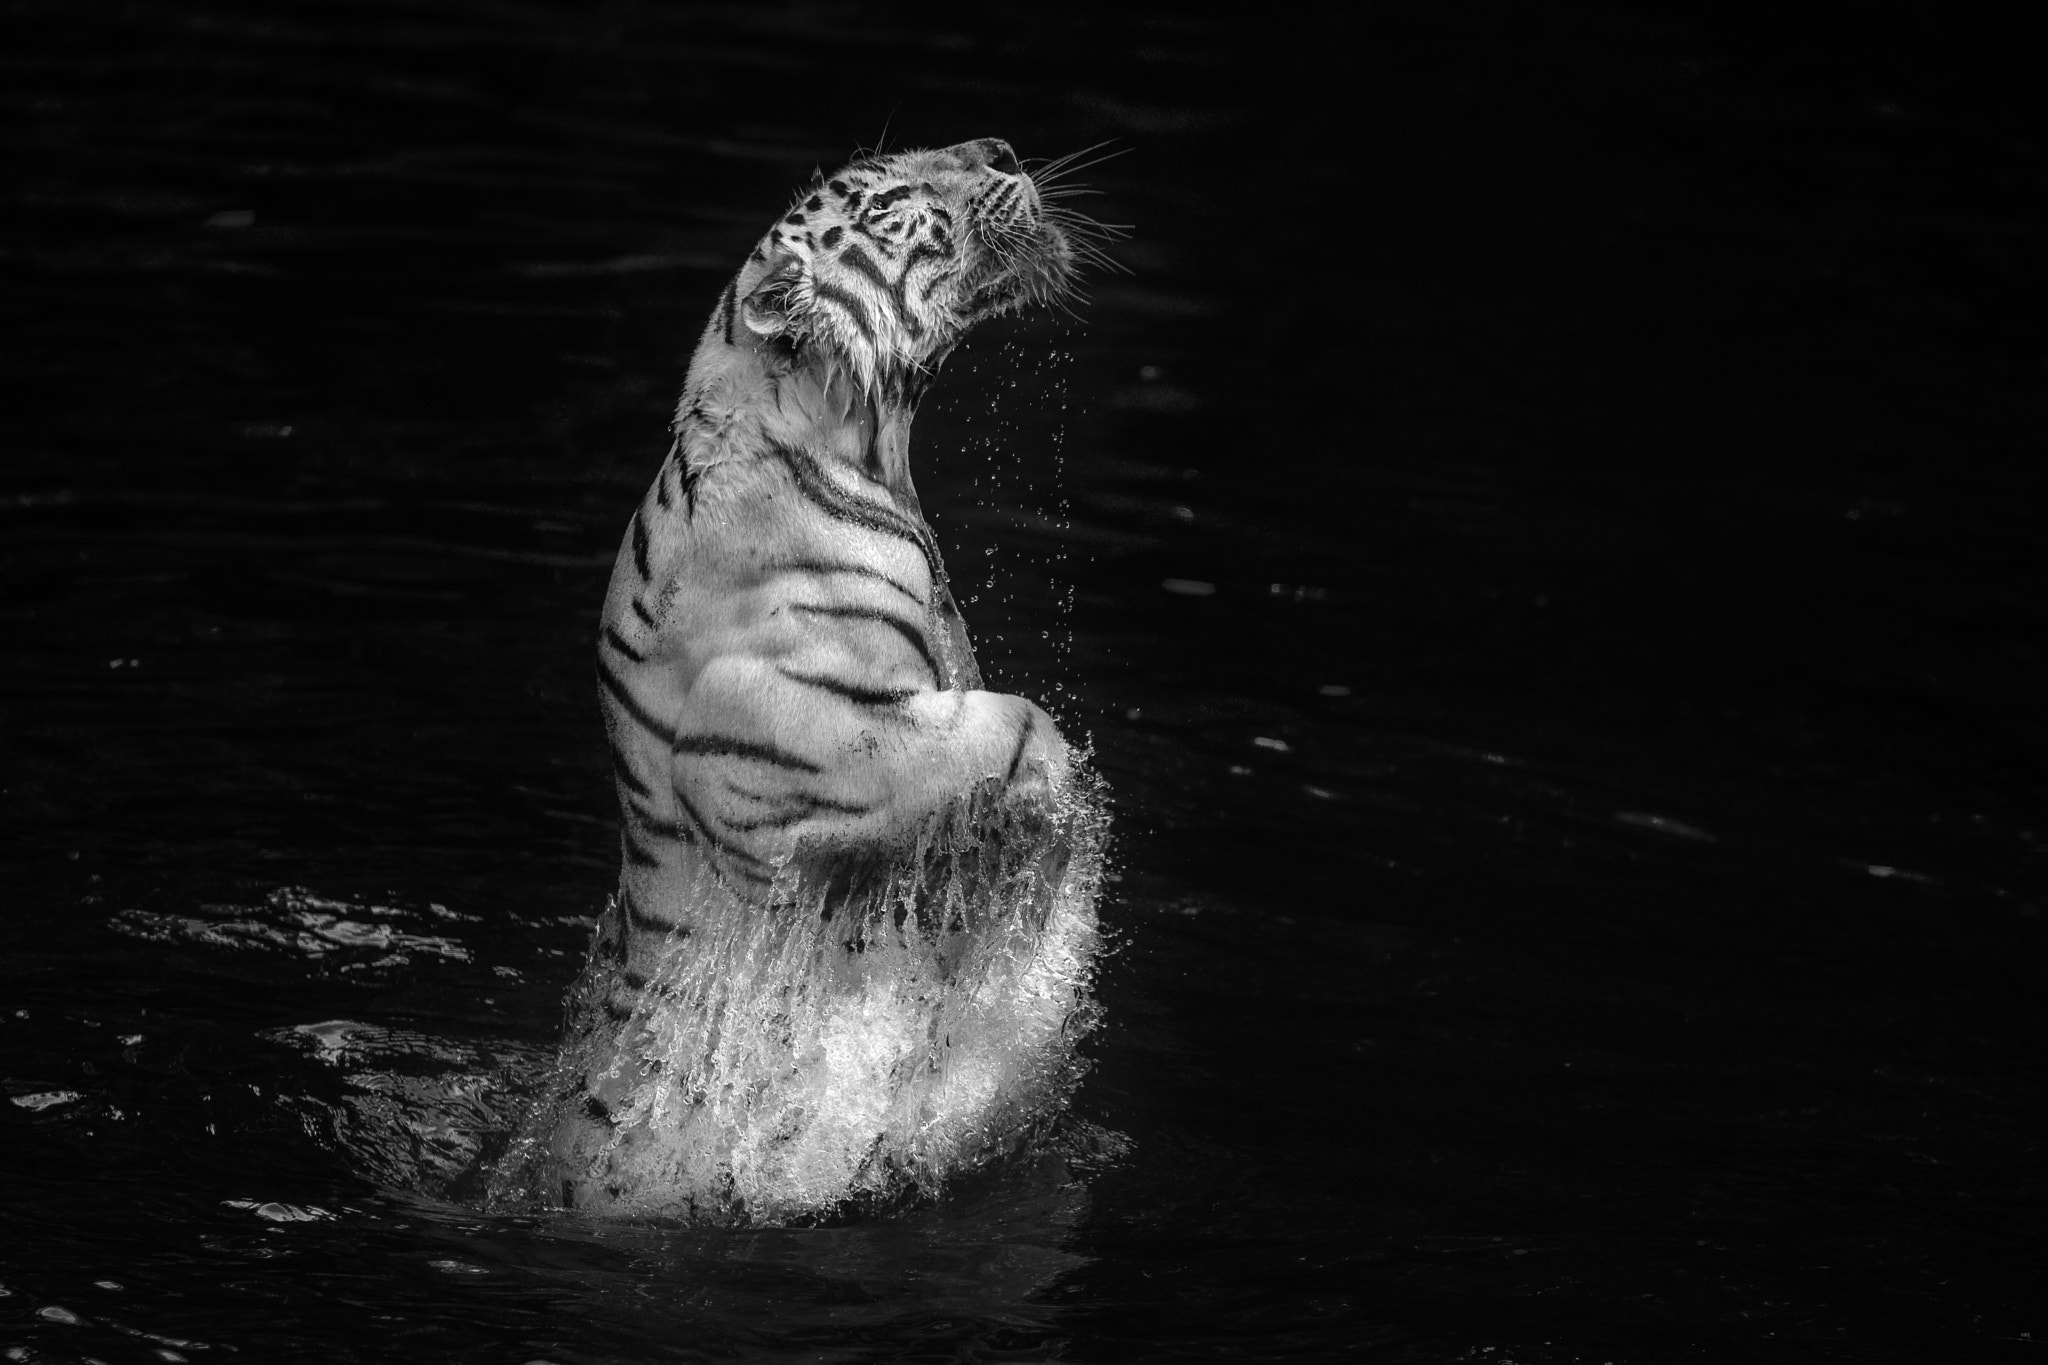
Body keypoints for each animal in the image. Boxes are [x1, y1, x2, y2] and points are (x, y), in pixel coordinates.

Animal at [495, 138, 1114, 1223]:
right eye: (888, 196)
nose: (998, 148)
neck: (864, 448)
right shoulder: (771, 727)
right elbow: (1019, 724)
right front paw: (1038, 862)